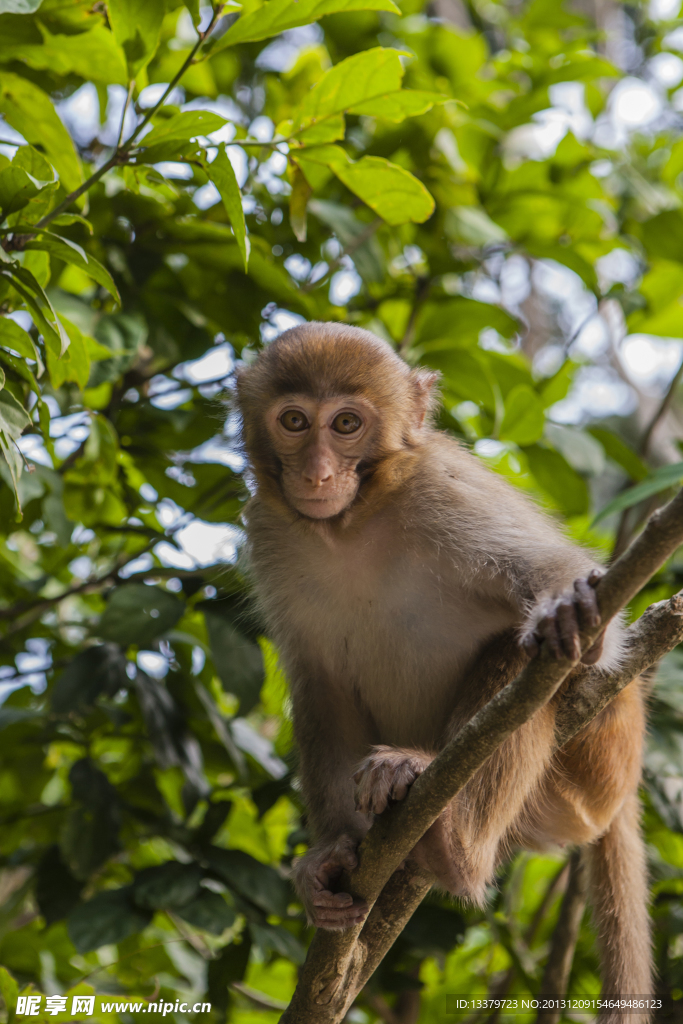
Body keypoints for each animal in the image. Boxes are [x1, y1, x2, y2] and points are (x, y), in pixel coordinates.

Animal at [235, 321, 651, 1007]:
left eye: (346, 424)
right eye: (294, 421)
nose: (317, 474)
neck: (352, 524)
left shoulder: (445, 492)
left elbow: (556, 581)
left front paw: (569, 610)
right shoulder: (270, 533)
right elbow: (321, 686)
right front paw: (330, 856)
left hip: (589, 771)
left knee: (522, 659)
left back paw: (452, 845)